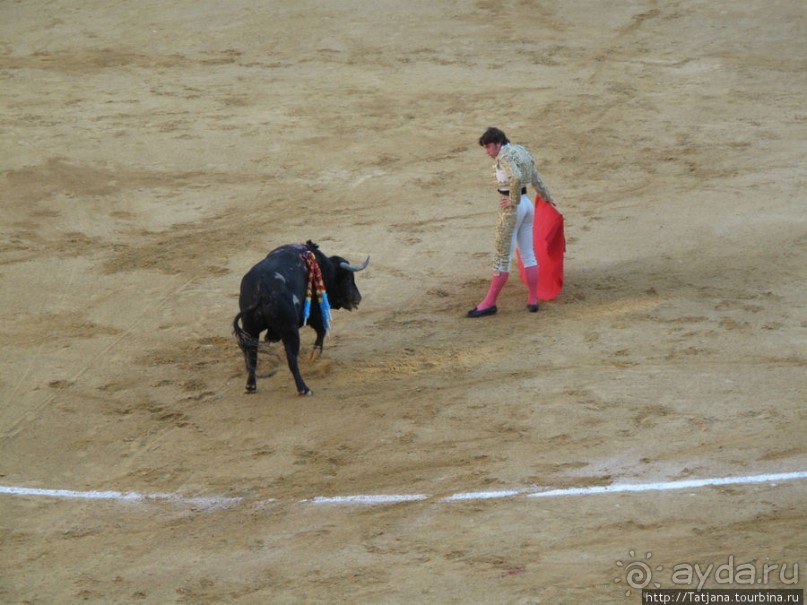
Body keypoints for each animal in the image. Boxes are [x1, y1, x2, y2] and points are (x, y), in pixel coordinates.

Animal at [234, 242, 370, 396]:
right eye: (348, 278)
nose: (358, 298)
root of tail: (261, 288)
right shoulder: (314, 312)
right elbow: (322, 330)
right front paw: (315, 353)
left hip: (250, 328)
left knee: (252, 357)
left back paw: (251, 386)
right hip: (290, 329)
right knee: (292, 360)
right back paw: (304, 389)